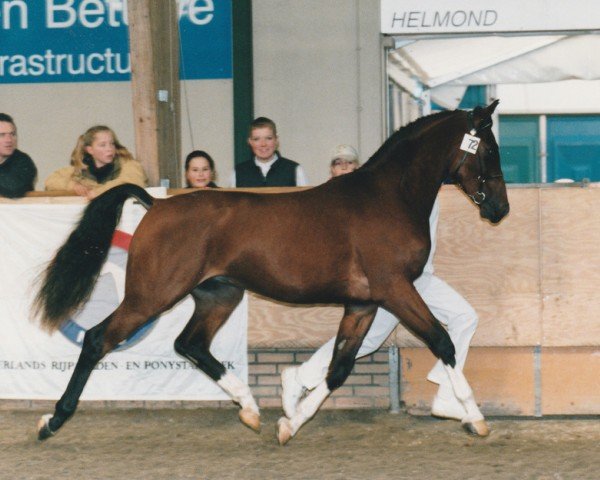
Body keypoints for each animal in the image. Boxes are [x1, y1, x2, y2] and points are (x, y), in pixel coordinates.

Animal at [32, 99, 508, 444]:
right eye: (488, 150)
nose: (500, 209)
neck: (388, 196)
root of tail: (157, 205)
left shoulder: (364, 302)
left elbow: (338, 368)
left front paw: (289, 424)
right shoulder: (395, 289)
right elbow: (443, 342)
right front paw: (476, 417)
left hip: (218, 294)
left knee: (190, 343)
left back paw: (250, 409)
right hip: (151, 295)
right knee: (98, 339)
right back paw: (51, 421)